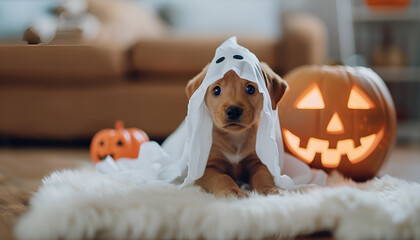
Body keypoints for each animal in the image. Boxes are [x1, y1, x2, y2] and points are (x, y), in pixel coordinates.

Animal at [186, 62, 288, 198]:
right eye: (216, 90)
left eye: (250, 89)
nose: (233, 111)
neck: (235, 137)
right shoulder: (206, 168)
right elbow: (222, 177)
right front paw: (231, 191)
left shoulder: (258, 161)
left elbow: (262, 175)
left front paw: (269, 188)